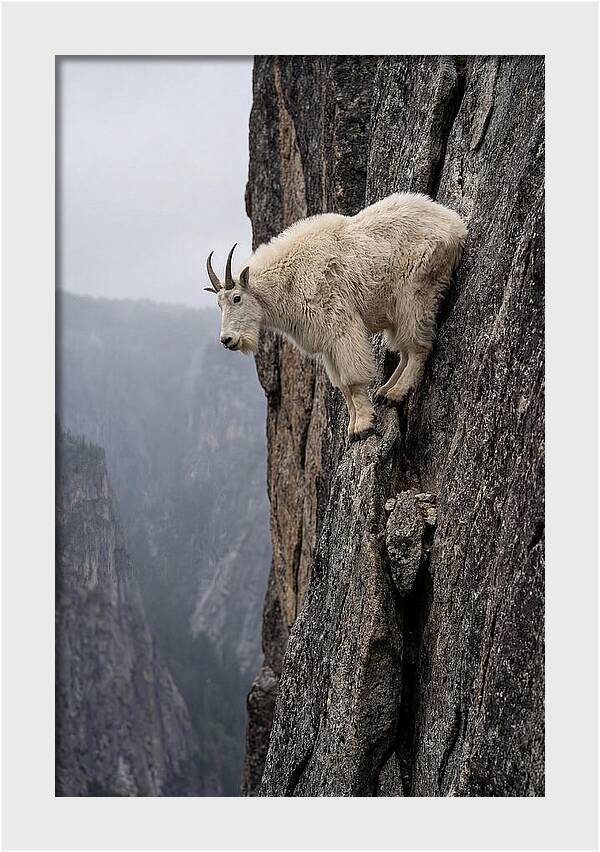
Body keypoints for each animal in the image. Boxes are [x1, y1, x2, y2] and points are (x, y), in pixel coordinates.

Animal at [205, 193, 467, 440]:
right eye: (219, 304)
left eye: (236, 298)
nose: (227, 340)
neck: (290, 279)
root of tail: (455, 224)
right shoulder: (327, 344)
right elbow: (341, 386)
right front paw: (352, 427)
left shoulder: (340, 326)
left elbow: (352, 380)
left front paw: (363, 426)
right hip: (395, 310)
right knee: (404, 349)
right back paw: (384, 391)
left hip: (415, 293)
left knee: (418, 346)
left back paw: (395, 393)